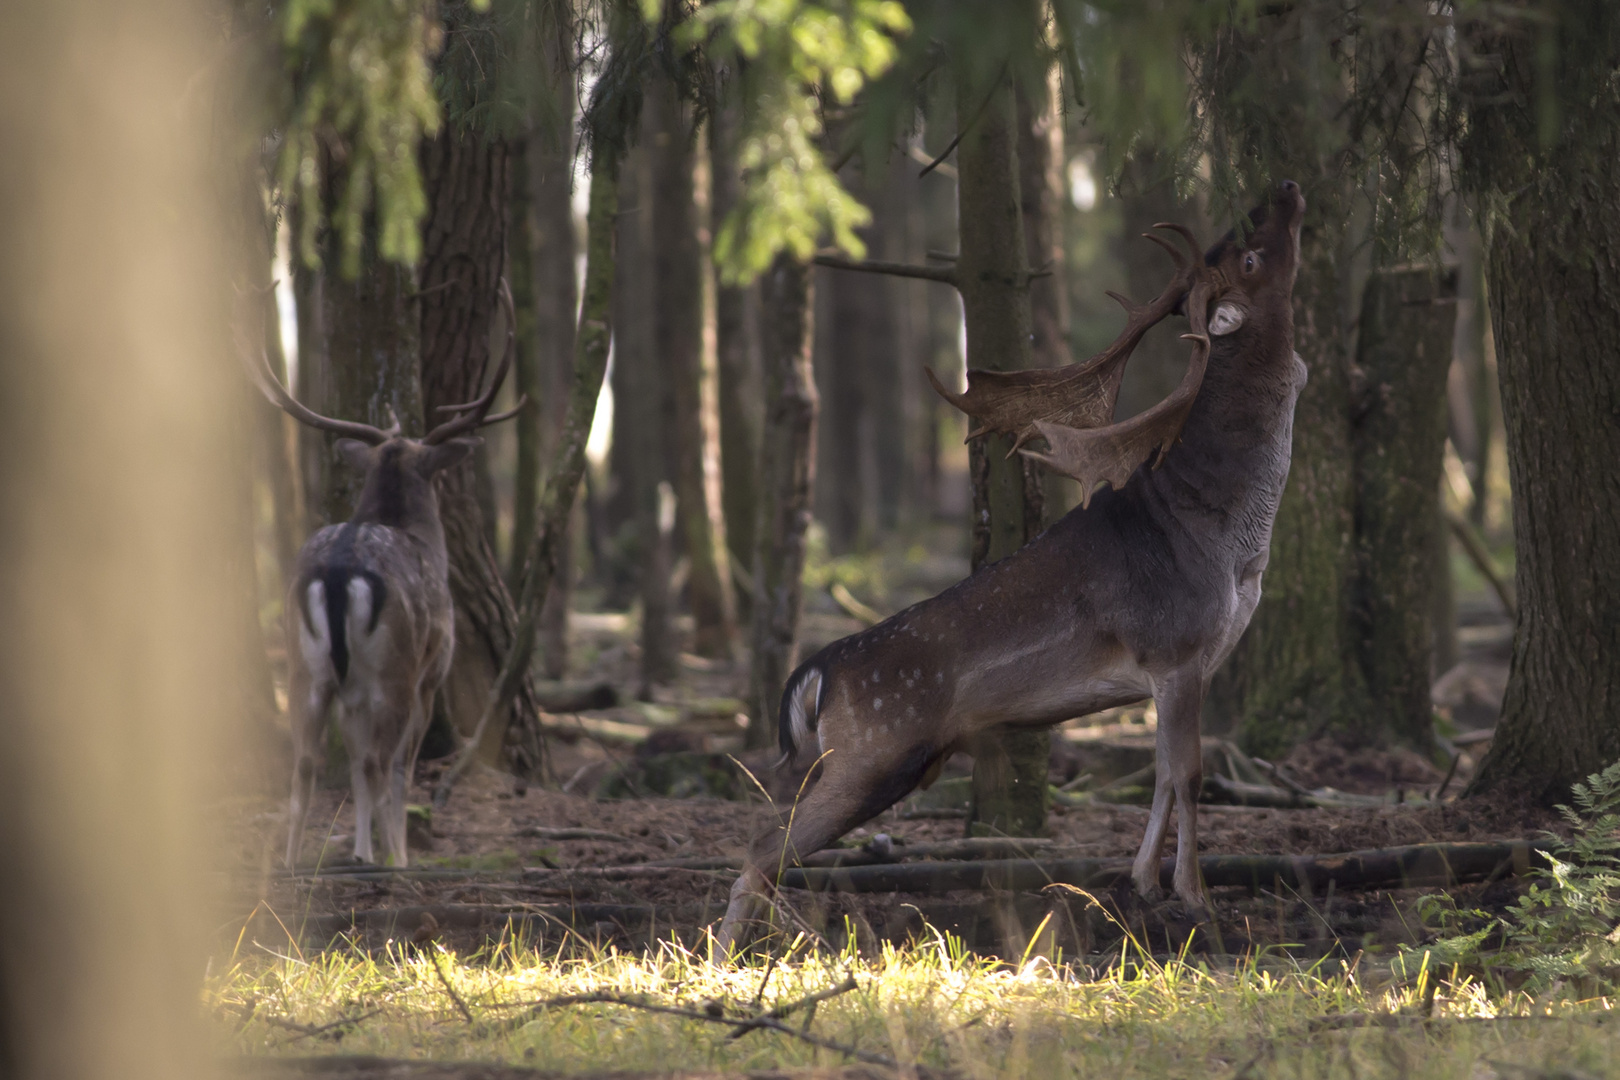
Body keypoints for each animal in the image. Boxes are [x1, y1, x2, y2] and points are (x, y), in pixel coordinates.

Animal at [243, 283, 521, 867]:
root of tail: (338, 571)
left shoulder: (349, 687)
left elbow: (348, 761)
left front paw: (363, 849)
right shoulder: (431, 672)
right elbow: (395, 769)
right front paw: (393, 853)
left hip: (306, 669)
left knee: (306, 762)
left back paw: (290, 863)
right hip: (393, 668)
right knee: (380, 762)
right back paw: (389, 861)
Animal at [716, 179, 1308, 952]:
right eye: (1251, 256)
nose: (1286, 188)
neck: (1228, 538)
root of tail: (817, 672)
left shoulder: (1178, 667)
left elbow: (1157, 776)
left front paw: (1142, 885)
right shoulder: (1175, 645)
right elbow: (1189, 774)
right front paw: (1196, 898)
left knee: (765, 850)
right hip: (874, 749)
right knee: (760, 849)